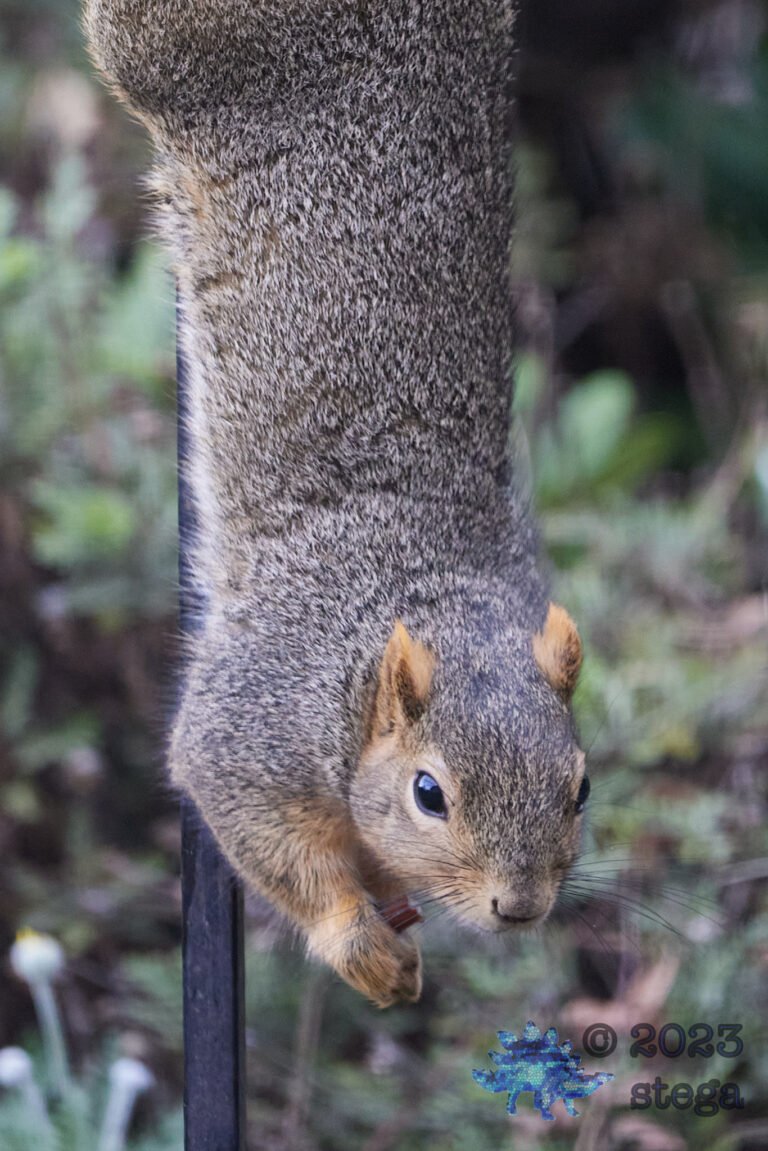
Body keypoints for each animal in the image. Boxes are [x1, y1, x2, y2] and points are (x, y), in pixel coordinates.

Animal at [83, 0, 589, 1008]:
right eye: (430, 793)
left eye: (581, 787)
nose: (520, 908)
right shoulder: (257, 713)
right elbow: (257, 825)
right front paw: (358, 943)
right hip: (175, 52)